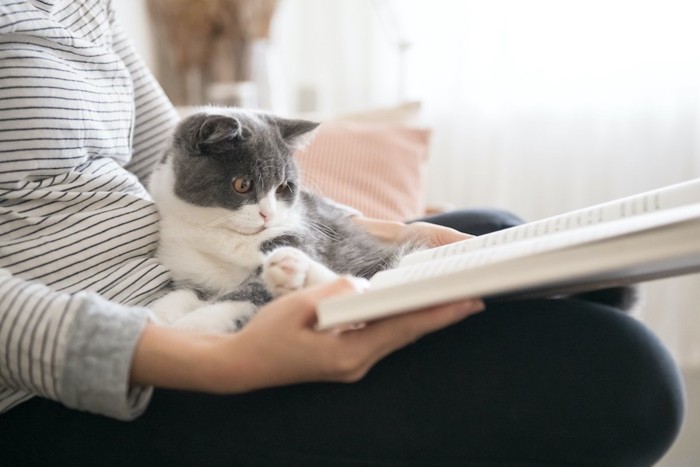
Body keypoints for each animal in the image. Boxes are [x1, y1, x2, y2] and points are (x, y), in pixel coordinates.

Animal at [148, 108, 422, 332]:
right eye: (242, 184)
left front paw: (193, 324)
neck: (223, 235)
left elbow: (249, 291)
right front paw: (159, 314)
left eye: (282, 187)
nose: (268, 214)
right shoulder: (183, 257)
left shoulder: (302, 236)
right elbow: (183, 292)